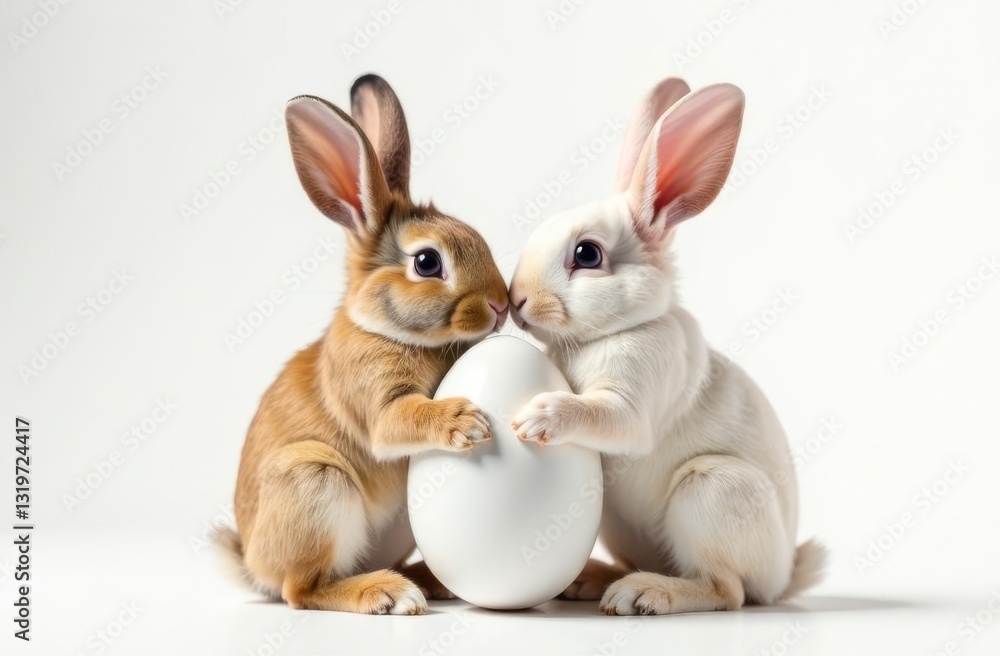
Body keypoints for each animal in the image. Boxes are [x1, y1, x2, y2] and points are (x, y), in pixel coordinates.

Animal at [217, 74, 509, 615]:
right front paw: (466, 422)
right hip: (315, 482)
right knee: (301, 591)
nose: (500, 305)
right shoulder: (377, 401)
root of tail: (251, 564)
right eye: (427, 263)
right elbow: (400, 419)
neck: (386, 328)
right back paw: (388, 593)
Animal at [508, 78, 826, 615]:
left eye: (587, 255)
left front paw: (537, 417)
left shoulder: (633, 401)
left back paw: (643, 593)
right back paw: (590, 580)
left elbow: (604, 415)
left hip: (711, 489)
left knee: (727, 590)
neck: (618, 328)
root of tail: (783, 577)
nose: (517, 299)